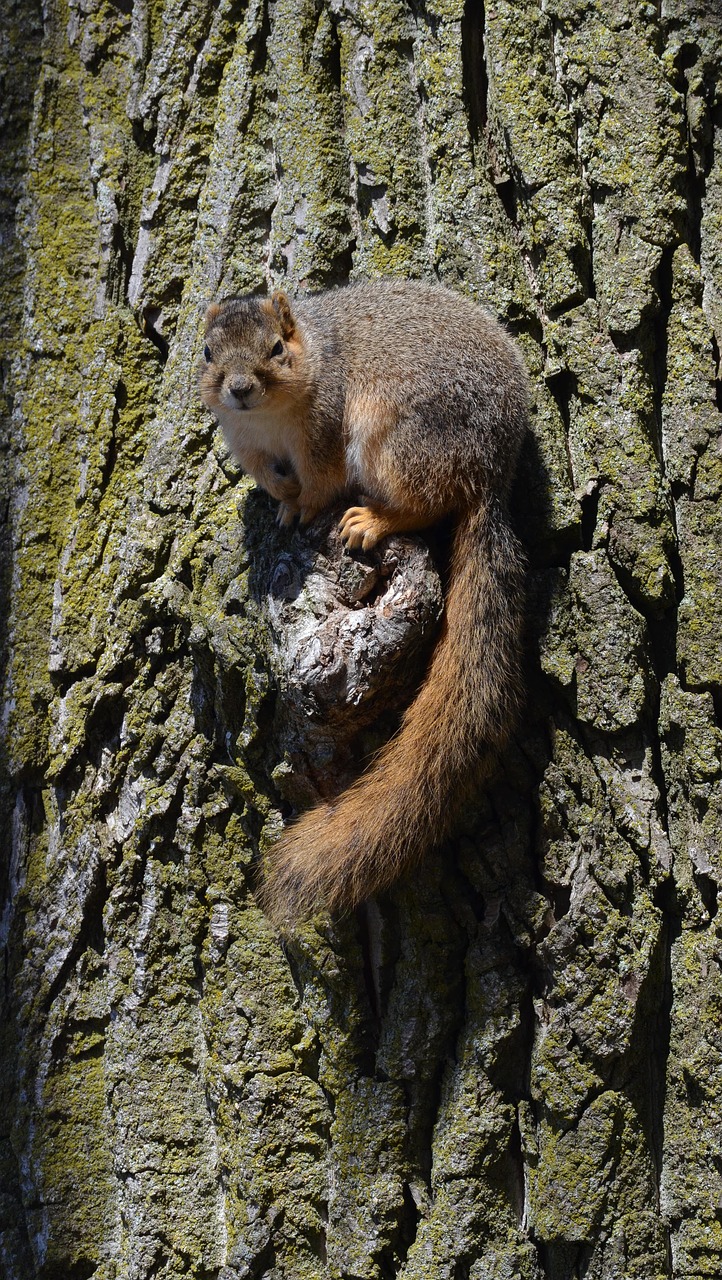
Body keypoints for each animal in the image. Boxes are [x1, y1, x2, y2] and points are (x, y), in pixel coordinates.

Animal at [199, 280, 527, 931]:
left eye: (277, 348)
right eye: (206, 354)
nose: (240, 389)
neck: (270, 420)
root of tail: (490, 474)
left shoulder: (323, 431)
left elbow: (320, 481)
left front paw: (306, 508)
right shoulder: (247, 445)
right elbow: (271, 480)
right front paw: (280, 502)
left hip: (397, 439)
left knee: (428, 502)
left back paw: (372, 520)